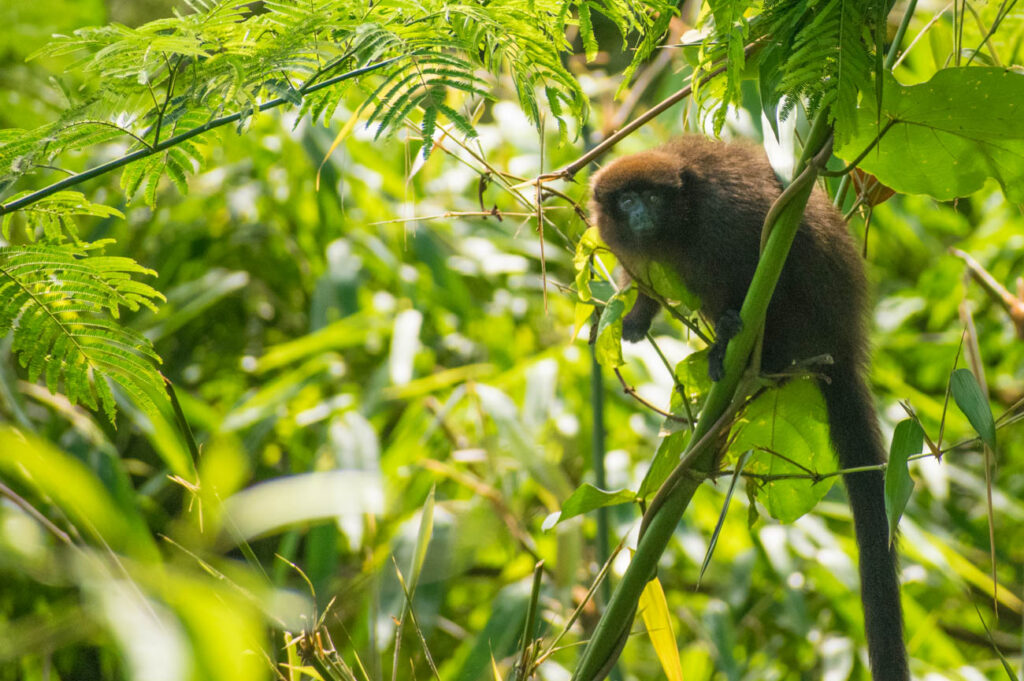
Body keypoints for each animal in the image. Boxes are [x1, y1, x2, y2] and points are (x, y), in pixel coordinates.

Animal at [589, 135, 909, 675]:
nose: (641, 214)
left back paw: (745, 353)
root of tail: (844, 343)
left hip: (808, 315)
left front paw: (725, 334)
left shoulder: (724, 217)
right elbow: (644, 278)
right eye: (627, 201)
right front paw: (634, 317)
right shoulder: (621, 241)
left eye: (652, 197)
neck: (682, 220)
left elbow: (751, 263)